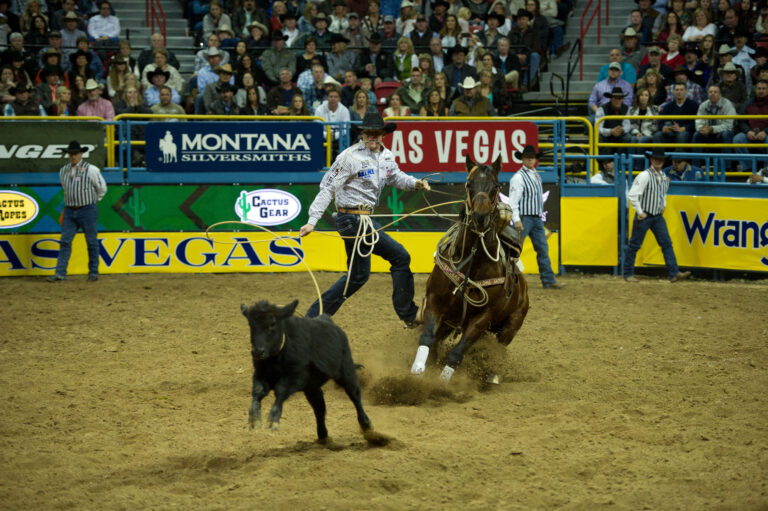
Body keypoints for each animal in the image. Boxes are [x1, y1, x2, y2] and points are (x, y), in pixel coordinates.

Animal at [241, 299, 389, 446]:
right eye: (251, 325)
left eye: (272, 324)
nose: (258, 351)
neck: (277, 357)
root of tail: (328, 321)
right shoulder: (260, 374)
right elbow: (258, 392)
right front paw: (254, 419)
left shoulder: (297, 376)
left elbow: (281, 390)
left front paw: (273, 420)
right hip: (312, 388)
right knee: (319, 408)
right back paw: (323, 436)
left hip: (347, 373)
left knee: (355, 397)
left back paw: (368, 428)